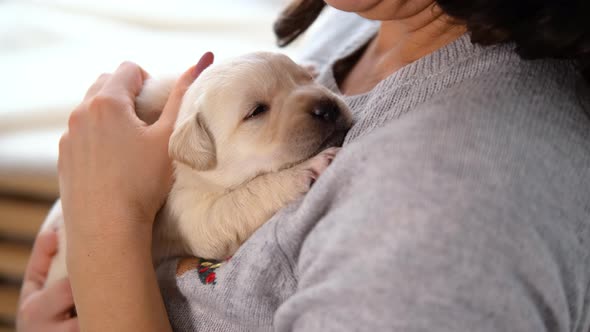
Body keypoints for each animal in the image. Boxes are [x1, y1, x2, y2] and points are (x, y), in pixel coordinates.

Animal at [46, 52, 354, 286]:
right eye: (257, 111)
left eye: (305, 79)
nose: (327, 107)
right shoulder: (189, 214)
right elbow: (245, 198)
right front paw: (309, 167)